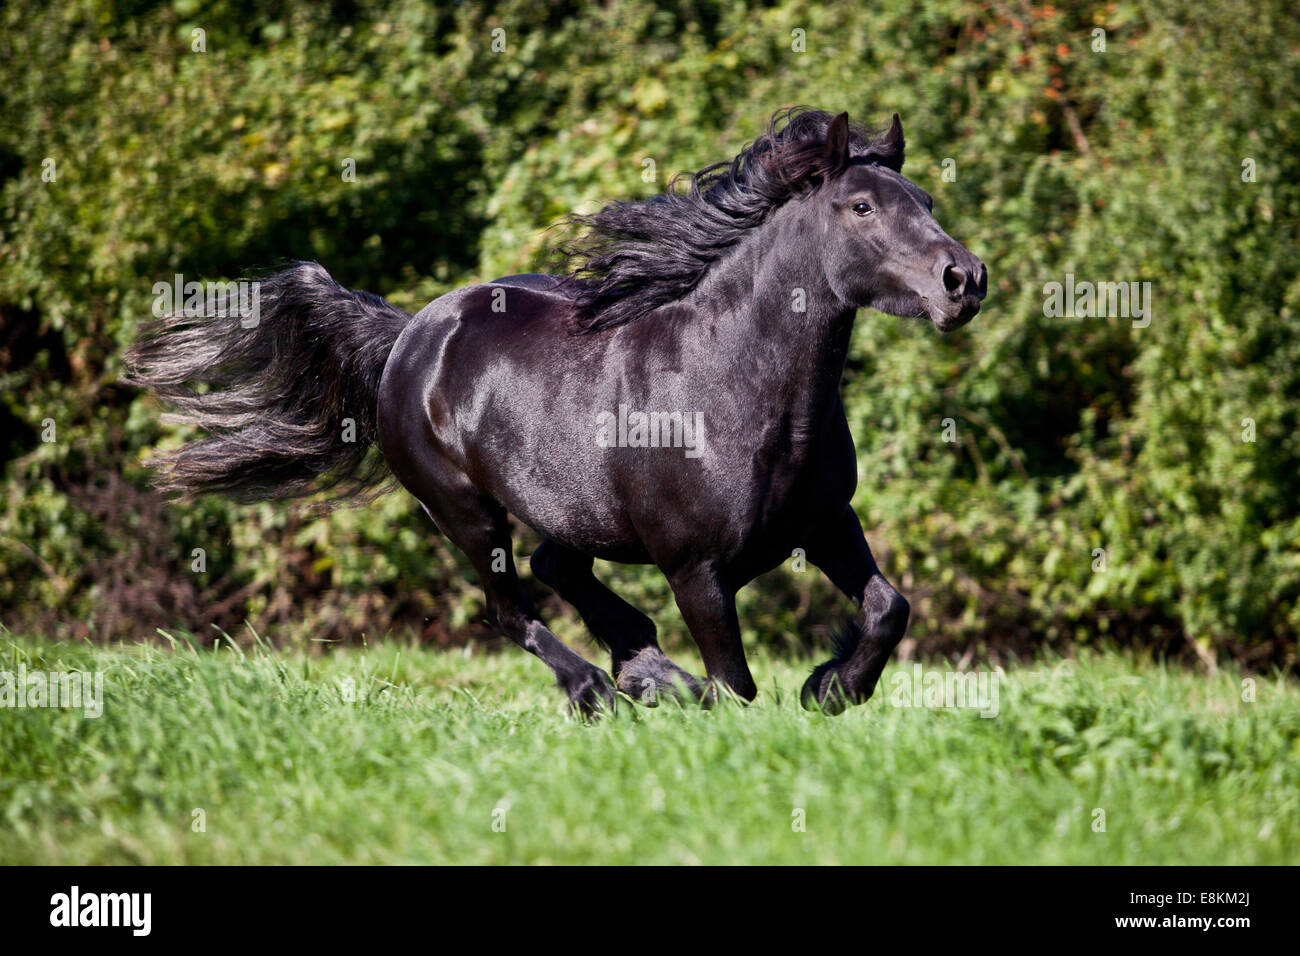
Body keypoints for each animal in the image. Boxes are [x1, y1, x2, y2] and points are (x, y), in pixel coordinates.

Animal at [129, 106, 982, 717]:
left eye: (925, 200)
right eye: (861, 206)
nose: (964, 279)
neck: (737, 388)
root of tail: (408, 335)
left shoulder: (826, 523)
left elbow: (888, 607)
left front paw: (831, 686)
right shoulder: (696, 570)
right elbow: (733, 687)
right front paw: (699, 688)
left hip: (565, 507)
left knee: (556, 566)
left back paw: (638, 664)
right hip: (465, 511)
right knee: (511, 609)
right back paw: (609, 687)